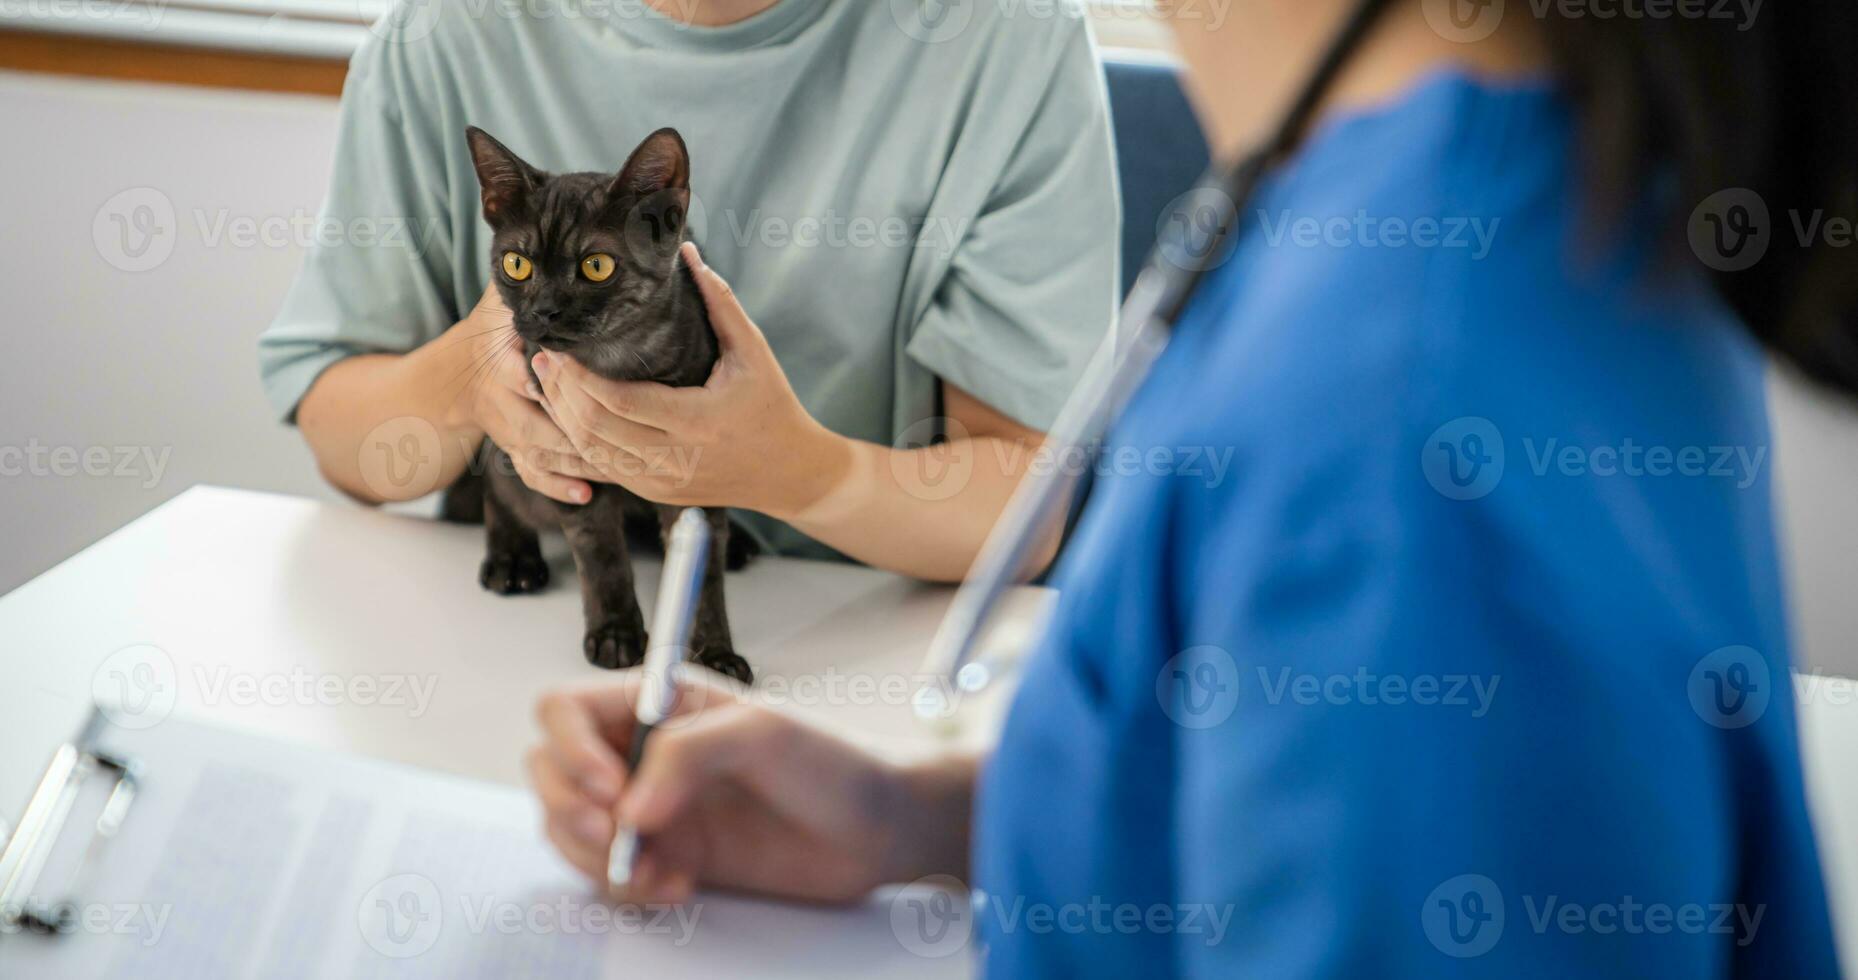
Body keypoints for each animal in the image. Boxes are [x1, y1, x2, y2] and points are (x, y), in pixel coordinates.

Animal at [453, 124, 750, 684]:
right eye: (516, 264)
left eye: (596, 266)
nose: (544, 310)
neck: (618, 359)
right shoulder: (570, 465)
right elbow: (601, 554)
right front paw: (616, 633)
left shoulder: (698, 466)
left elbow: (703, 572)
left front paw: (715, 656)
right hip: (514, 465)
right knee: (497, 487)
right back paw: (511, 558)